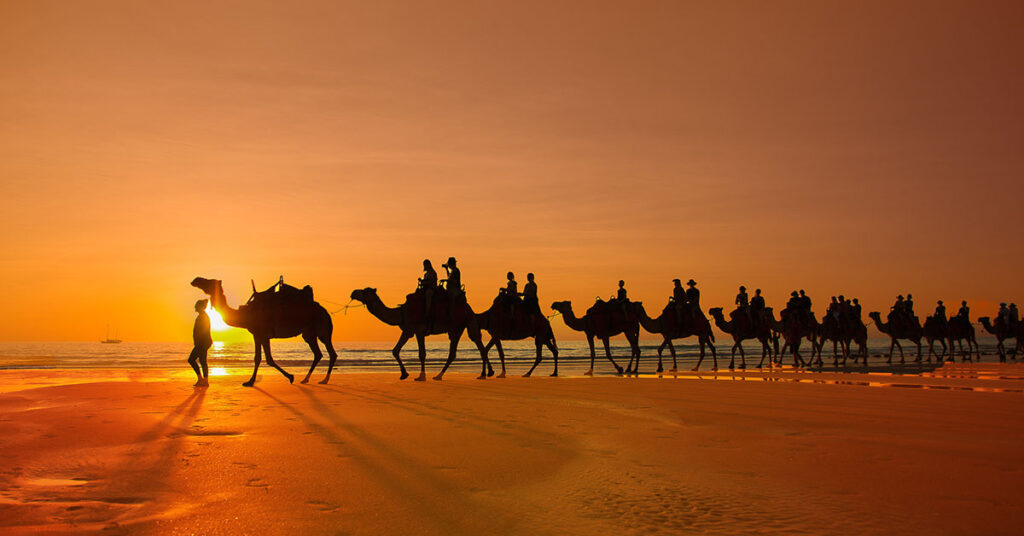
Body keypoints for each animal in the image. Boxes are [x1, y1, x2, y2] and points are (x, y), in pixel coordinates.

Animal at [190, 278, 337, 387]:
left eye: (209, 281)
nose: (195, 280)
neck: (244, 315)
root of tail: (325, 311)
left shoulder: (260, 334)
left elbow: (263, 358)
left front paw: (250, 382)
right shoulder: (260, 335)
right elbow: (263, 358)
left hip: (323, 330)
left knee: (331, 353)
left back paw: (324, 380)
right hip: (308, 334)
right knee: (318, 353)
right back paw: (306, 379)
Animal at [350, 289, 489, 381]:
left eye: (365, 291)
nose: (353, 292)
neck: (402, 313)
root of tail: (468, 307)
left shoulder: (419, 330)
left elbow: (422, 353)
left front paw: (421, 376)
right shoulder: (408, 331)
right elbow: (395, 350)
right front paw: (404, 374)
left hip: (469, 321)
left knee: (479, 344)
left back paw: (483, 374)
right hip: (456, 328)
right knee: (454, 353)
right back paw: (439, 376)